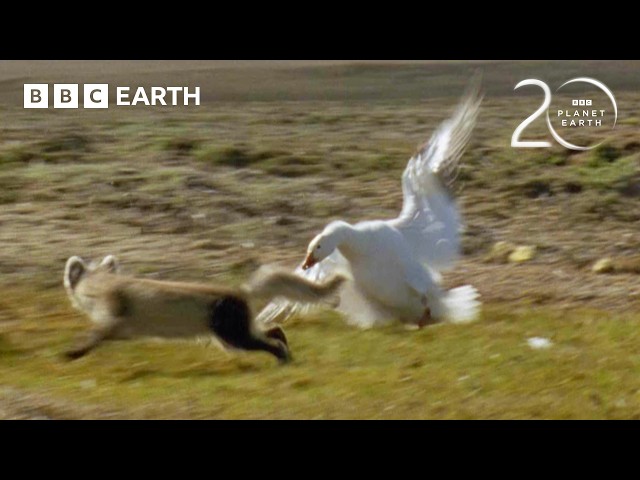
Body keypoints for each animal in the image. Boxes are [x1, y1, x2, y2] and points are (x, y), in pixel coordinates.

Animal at [63, 255, 345, 364]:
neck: (104, 286)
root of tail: (240, 292)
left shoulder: (112, 312)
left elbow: (98, 332)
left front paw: (73, 352)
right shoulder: (123, 327)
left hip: (229, 333)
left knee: (264, 341)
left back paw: (282, 357)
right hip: (236, 328)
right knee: (273, 329)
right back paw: (286, 350)